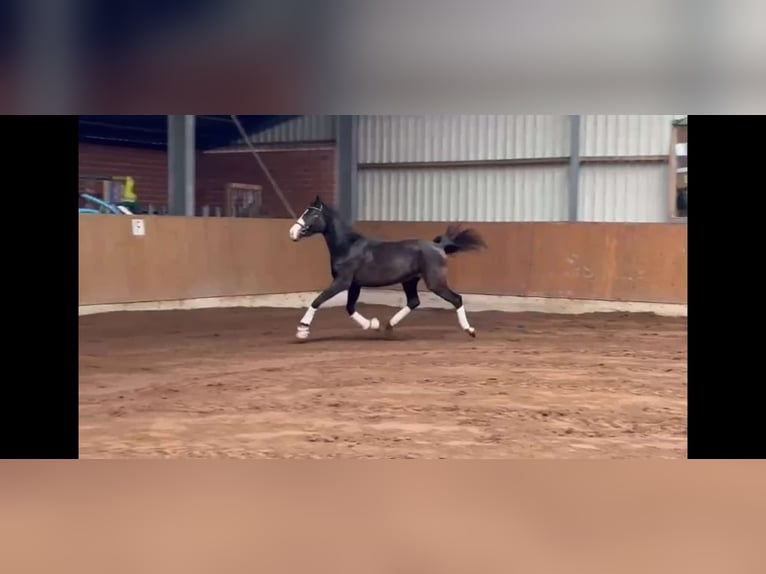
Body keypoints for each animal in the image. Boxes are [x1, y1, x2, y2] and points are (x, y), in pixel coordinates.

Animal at [288, 198, 486, 342]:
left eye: (313, 214)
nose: (292, 233)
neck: (348, 248)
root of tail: (439, 247)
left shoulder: (342, 282)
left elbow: (318, 301)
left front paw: (302, 330)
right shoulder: (355, 284)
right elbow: (350, 307)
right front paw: (373, 325)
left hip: (435, 282)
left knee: (456, 299)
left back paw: (470, 330)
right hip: (409, 280)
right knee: (414, 301)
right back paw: (388, 325)